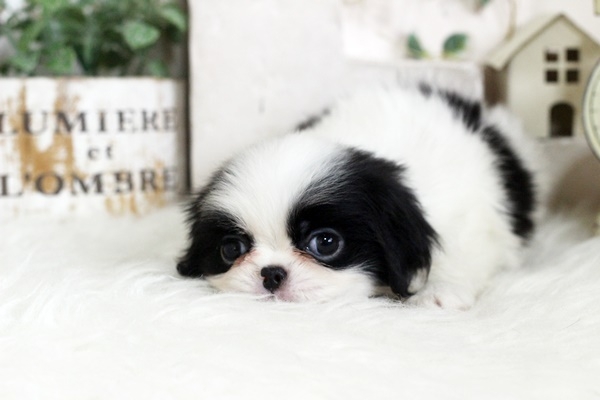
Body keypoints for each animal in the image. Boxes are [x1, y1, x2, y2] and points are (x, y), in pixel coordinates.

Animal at [177, 85, 538, 309]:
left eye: (325, 243)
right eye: (231, 249)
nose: (271, 273)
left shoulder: (470, 217)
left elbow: (459, 250)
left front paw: (439, 291)